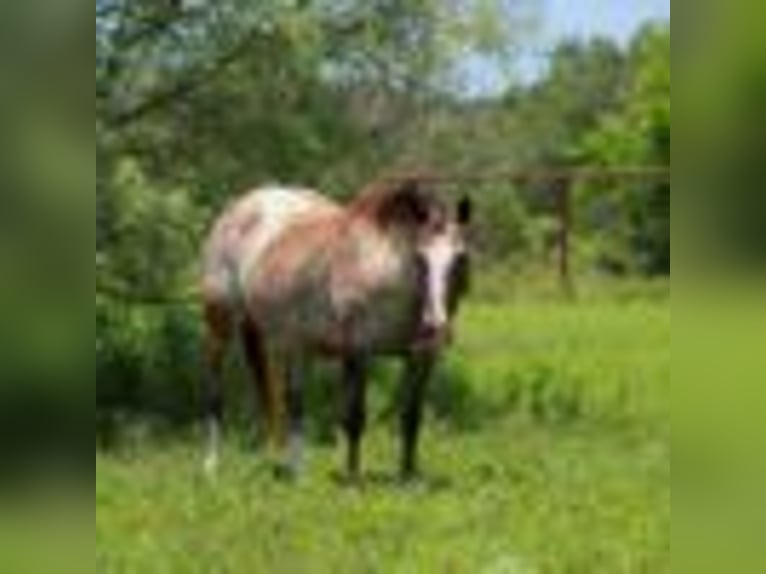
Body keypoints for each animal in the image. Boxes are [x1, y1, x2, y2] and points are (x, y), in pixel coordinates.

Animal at [200, 177, 472, 480]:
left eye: (461, 258)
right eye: (421, 258)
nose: (436, 326)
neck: (383, 266)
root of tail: (240, 207)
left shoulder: (421, 358)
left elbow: (411, 417)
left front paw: (408, 475)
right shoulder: (358, 352)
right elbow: (354, 417)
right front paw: (353, 477)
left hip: (295, 344)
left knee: (292, 403)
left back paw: (296, 471)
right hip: (219, 324)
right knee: (215, 395)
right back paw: (211, 465)